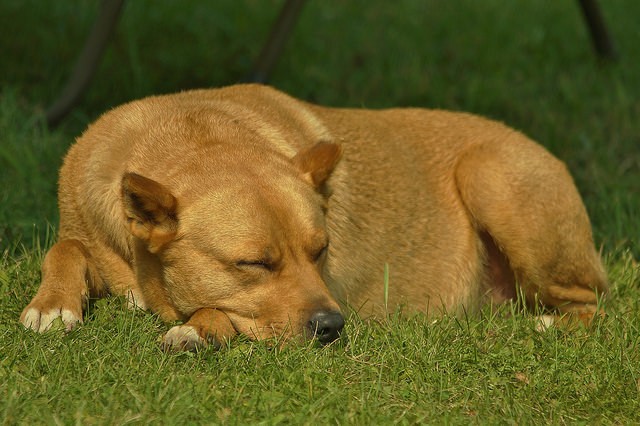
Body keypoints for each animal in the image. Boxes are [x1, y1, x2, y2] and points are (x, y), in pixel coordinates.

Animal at [21, 84, 608, 350]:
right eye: (253, 263)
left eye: (321, 250)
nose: (333, 326)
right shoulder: (85, 235)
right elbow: (64, 247)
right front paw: (52, 305)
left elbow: (218, 312)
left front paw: (198, 329)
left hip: (490, 176)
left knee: (592, 305)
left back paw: (548, 324)